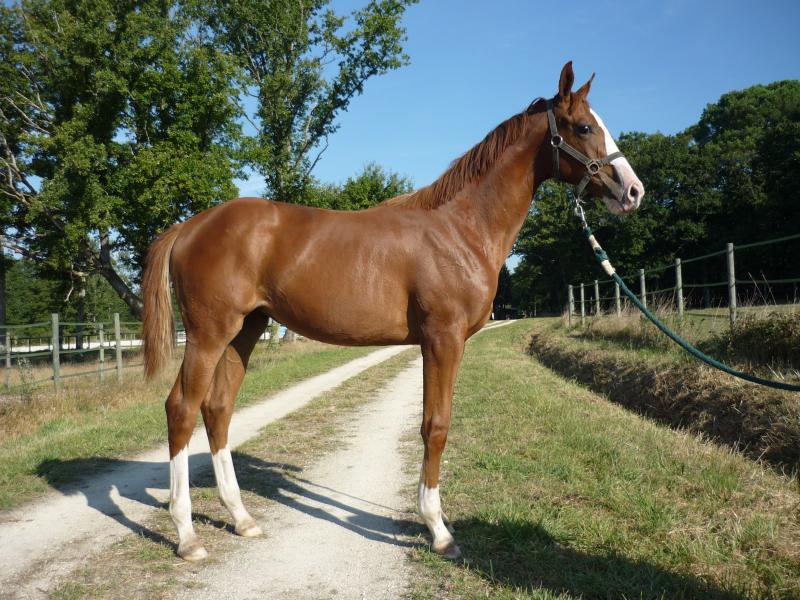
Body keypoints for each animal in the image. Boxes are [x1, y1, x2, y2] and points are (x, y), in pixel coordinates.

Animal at [141, 61, 644, 562]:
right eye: (583, 127)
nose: (633, 191)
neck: (461, 228)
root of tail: (190, 225)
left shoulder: (437, 343)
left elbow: (433, 423)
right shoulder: (442, 340)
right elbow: (435, 426)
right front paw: (438, 530)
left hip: (245, 330)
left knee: (218, 409)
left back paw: (242, 519)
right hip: (209, 333)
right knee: (181, 409)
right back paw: (187, 536)